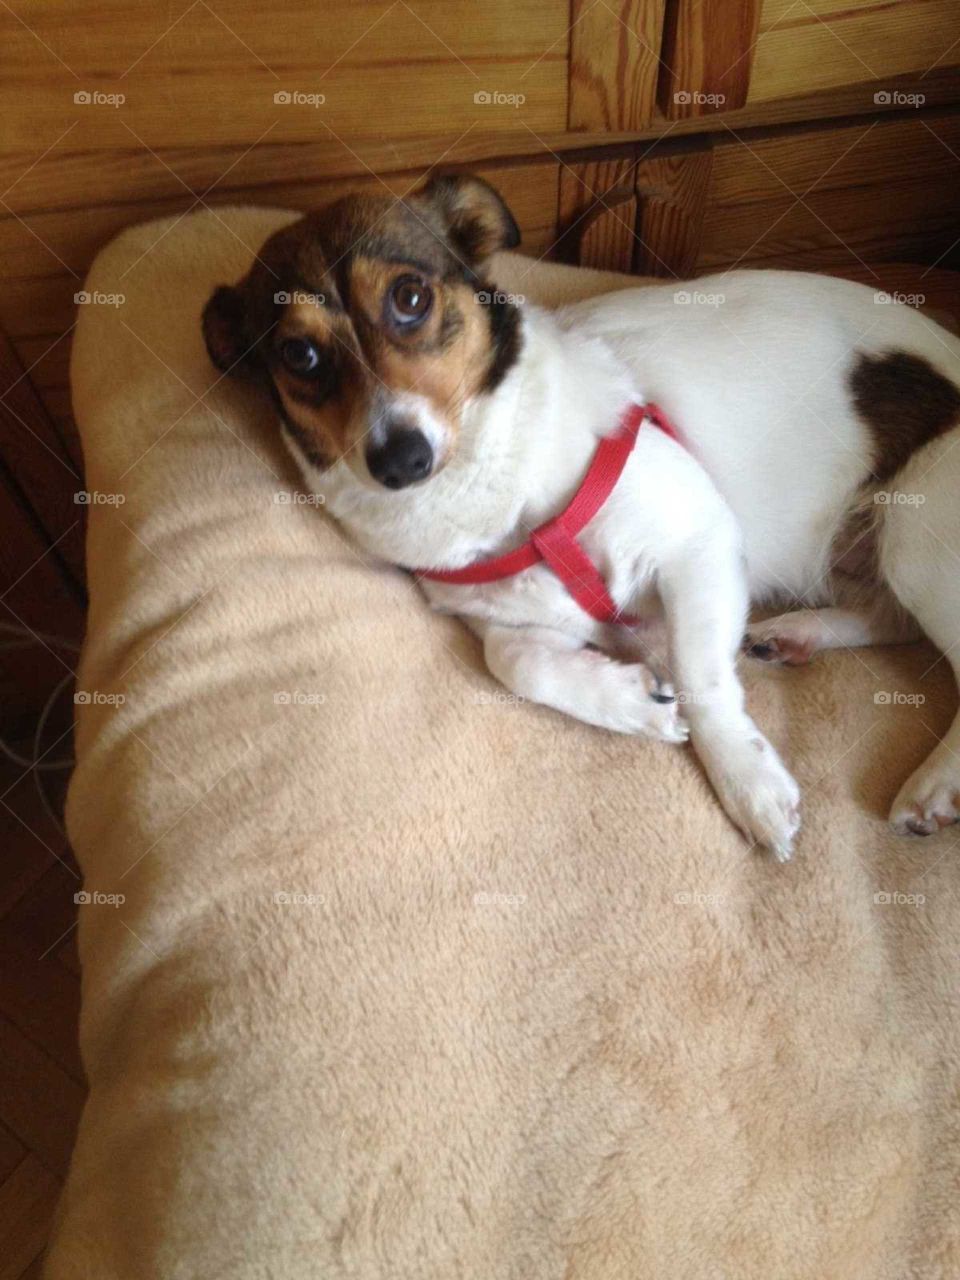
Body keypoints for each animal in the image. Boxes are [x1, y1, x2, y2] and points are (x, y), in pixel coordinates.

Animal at [203, 170, 960, 860]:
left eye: (410, 297)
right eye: (298, 353)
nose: (400, 459)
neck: (492, 490)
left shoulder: (699, 540)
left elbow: (701, 678)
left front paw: (747, 783)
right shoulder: (499, 619)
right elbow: (517, 663)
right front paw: (631, 702)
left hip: (917, 536)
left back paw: (933, 784)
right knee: (890, 619)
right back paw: (797, 633)